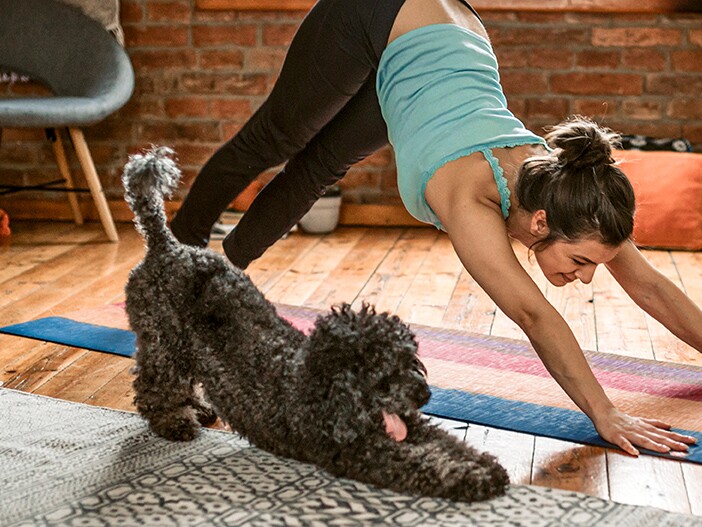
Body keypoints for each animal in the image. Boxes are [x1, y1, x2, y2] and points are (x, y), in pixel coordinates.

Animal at [124, 147, 508, 504]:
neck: (322, 387)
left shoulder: (410, 425)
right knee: (153, 388)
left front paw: (484, 463)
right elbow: (424, 464)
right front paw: (473, 478)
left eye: (412, 361)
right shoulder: (364, 452)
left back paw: (199, 409)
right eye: (384, 374)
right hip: (163, 343)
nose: (424, 395)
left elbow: (447, 442)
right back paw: (174, 422)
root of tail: (166, 246)